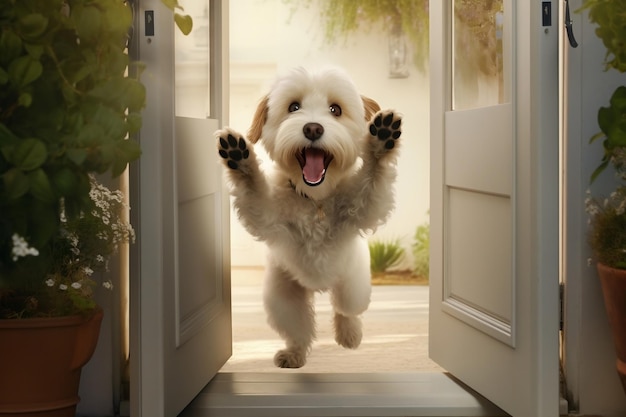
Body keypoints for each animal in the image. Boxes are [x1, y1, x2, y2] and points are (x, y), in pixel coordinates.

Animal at [214, 66, 400, 368]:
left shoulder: (362, 208)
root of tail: (318, 286)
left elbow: (373, 178)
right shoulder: (269, 216)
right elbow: (254, 191)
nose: (313, 128)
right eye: (294, 107)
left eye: (335, 109)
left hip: (352, 283)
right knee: (298, 328)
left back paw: (349, 334)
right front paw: (239, 158)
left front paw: (381, 141)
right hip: (283, 296)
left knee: (345, 309)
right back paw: (294, 353)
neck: (314, 201)